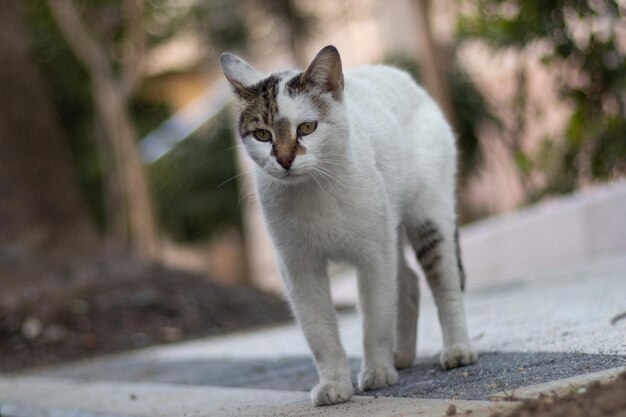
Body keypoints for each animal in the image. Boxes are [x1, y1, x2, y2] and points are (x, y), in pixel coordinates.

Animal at [218, 46, 472, 406]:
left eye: (307, 127)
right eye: (262, 135)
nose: (284, 159)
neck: (313, 190)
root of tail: (405, 79)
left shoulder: (373, 257)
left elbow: (376, 318)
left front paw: (377, 371)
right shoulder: (299, 268)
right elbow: (320, 332)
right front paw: (334, 384)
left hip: (428, 218)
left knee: (444, 284)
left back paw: (457, 349)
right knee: (407, 282)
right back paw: (402, 356)